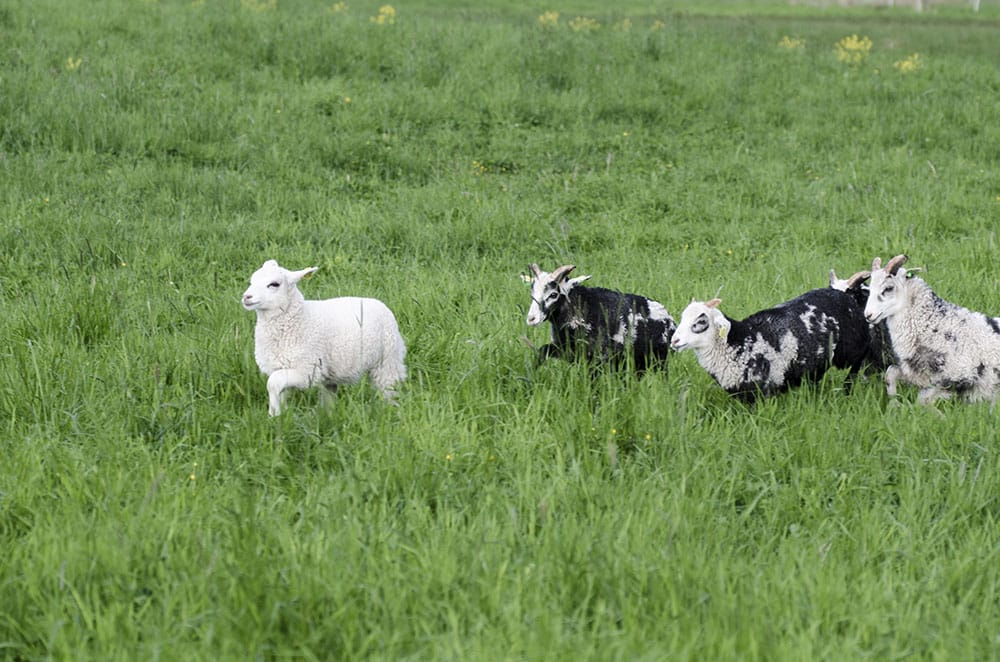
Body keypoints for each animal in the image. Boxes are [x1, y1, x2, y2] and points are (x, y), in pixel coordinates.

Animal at [241, 260, 406, 416]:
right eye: (252, 281)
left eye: (274, 284)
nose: (246, 297)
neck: (299, 319)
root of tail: (379, 303)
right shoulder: (281, 367)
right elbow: (277, 389)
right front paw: (279, 416)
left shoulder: (308, 370)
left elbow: (272, 383)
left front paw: (274, 415)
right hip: (331, 374)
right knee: (329, 394)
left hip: (387, 362)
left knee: (389, 389)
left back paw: (389, 412)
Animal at [524, 264, 680, 376]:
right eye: (532, 294)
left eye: (553, 294)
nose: (531, 319)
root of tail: (670, 319)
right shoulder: (566, 350)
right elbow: (542, 351)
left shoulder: (601, 358)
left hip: (659, 360)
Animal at [668, 290, 872, 402]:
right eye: (682, 317)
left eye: (700, 322)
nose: (674, 341)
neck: (740, 343)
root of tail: (846, 296)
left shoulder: (764, 393)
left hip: (852, 348)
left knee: (858, 362)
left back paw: (847, 389)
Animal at [860, 254, 1000, 404]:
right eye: (869, 289)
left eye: (888, 288)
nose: (868, 315)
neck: (934, 324)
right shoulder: (917, 375)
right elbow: (890, 373)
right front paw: (894, 402)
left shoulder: (956, 380)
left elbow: (922, 400)